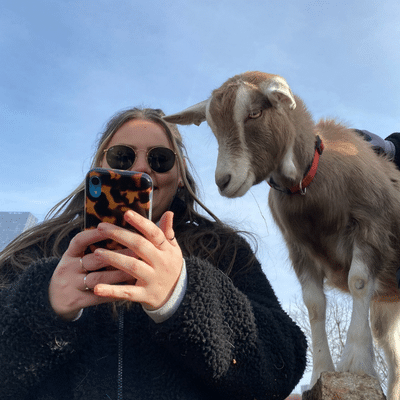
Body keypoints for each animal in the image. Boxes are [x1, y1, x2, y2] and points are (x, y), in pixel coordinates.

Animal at [164, 70, 400, 398]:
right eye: (212, 125)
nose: (224, 180)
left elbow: (358, 282)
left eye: (254, 113)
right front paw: (321, 372)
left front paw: (356, 363)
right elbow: (314, 304)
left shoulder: (370, 227)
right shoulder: (299, 248)